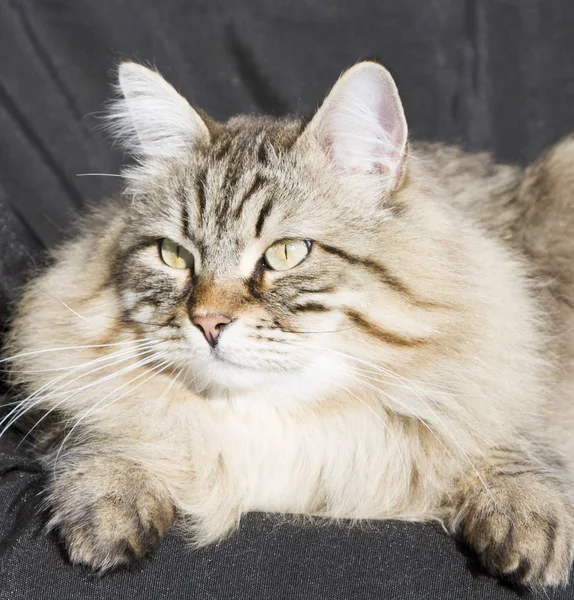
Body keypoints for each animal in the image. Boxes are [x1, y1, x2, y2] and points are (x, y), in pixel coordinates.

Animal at [1, 59, 574, 584]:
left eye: (287, 253)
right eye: (174, 255)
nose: (209, 322)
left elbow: (510, 450)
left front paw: (529, 518)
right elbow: (101, 438)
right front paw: (111, 498)